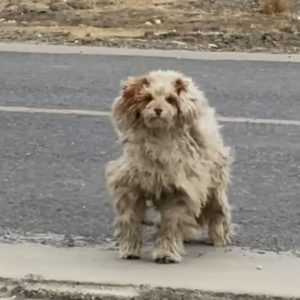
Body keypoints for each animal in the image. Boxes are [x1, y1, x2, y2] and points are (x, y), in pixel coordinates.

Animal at [106, 69, 234, 262]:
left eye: (170, 99)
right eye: (148, 98)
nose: (158, 110)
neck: (159, 139)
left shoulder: (180, 189)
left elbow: (171, 224)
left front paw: (166, 253)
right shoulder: (130, 185)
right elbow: (130, 219)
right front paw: (130, 249)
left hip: (214, 181)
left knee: (219, 209)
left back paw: (220, 235)